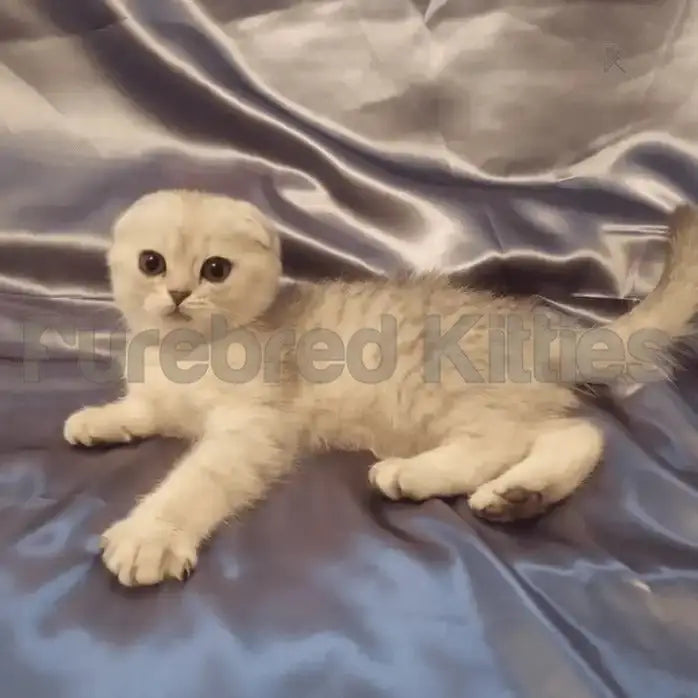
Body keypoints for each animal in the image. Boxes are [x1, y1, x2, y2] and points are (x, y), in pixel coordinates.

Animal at [62, 192, 692, 588]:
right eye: (151, 262)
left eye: (215, 269)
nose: (176, 294)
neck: (183, 354)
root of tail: (543, 332)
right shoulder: (160, 401)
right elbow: (140, 408)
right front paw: (96, 420)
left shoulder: (252, 429)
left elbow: (195, 481)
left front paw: (150, 536)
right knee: (576, 434)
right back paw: (519, 496)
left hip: (446, 395)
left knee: (515, 439)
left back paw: (414, 475)